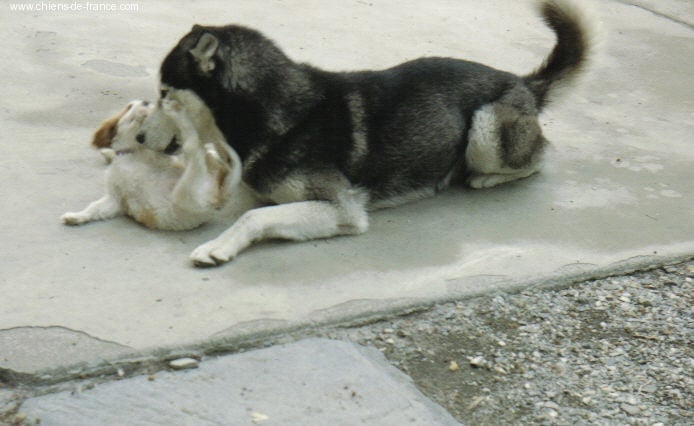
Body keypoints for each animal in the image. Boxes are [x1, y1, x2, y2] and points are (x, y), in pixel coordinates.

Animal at [61, 98, 242, 231]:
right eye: (129, 106)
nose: (147, 102)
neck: (134, 153)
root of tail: (218, 195)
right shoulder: (116, 199)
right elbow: (96, 208)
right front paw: (77, 216)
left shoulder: (158, 156)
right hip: (189, 194)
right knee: (195, 148)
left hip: (190, 191)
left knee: (195, 148)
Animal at [137, 0, 594, 266]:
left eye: (164, 95)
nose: (139, 139)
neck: (279, 111)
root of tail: (521, 81)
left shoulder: (342, 209)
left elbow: (255, 216)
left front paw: (220, 245)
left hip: (485, 128)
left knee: (540, 157)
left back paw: (484, 177)